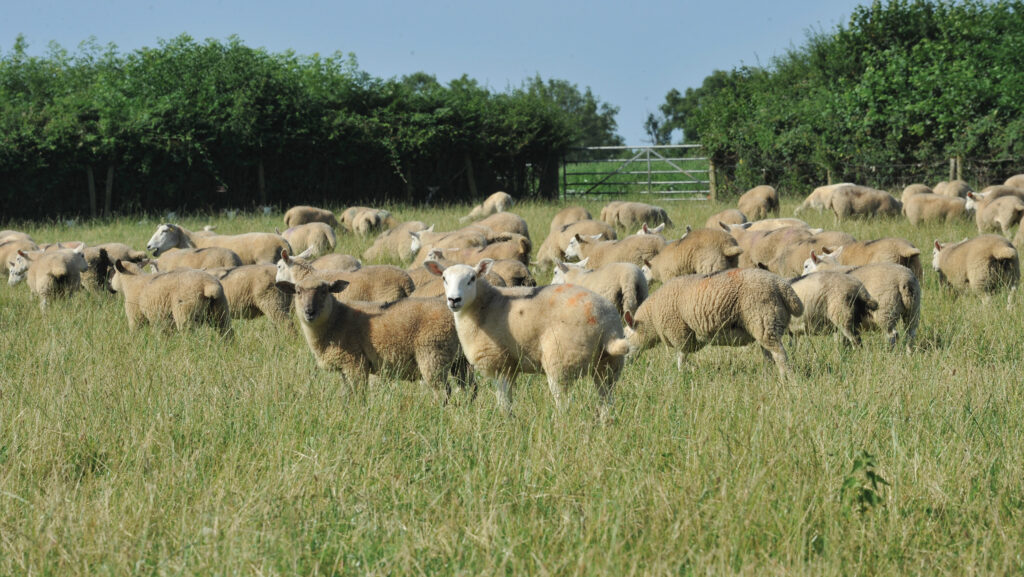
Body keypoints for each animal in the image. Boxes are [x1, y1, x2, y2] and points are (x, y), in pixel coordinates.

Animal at [275, 277, 473, 402]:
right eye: (298, 291)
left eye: (324, 291)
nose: (309, 312)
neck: (336, 319)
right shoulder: (344, 368)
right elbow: (346, 395)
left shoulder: (355, 363)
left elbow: (358, 394)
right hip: (460, 359)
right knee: (470, 388)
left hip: (433, 354)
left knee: (443, 392)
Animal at [426, 258, 629, 417]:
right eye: (444, 278)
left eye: (472, 279)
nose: (454, 300)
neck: (485, 305)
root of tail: (607, 326)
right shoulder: (511, 364)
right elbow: (508, 398)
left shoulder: (499, 361)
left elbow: (503, 399)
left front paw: (505, 422)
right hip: (609, 365)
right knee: (606, 399)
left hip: (562, 359)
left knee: (563, 403)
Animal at [623, 267, 803, 379]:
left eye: (625, 336)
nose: (623, 364)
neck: (651, 318)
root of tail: (784, 288)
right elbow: (683, 356)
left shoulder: (680, 332)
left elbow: (681, 356)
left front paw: (682, 374)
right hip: (766, 324)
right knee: (769, 355)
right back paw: (767, 376)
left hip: (763, 318)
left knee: (780, 355)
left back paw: (786, 379)